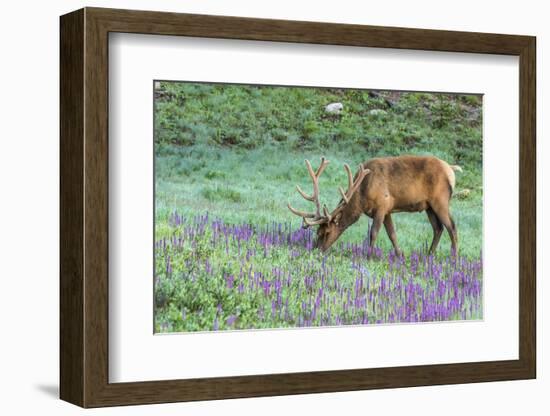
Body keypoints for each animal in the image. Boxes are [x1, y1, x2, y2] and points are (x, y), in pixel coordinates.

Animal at [288, 154, 466, 255]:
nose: (316, 250)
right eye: (317, 231)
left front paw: (369, 256)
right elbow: (392, 234)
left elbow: (373, 233)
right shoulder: (388, 210)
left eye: (326, 232)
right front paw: (400, 255)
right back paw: (429, 255)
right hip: (428, 206)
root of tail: (451, 169)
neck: (361, 196)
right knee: (438, 228)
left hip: (440, 200)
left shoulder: (381, 205)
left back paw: (454, 258)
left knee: (452, 227)